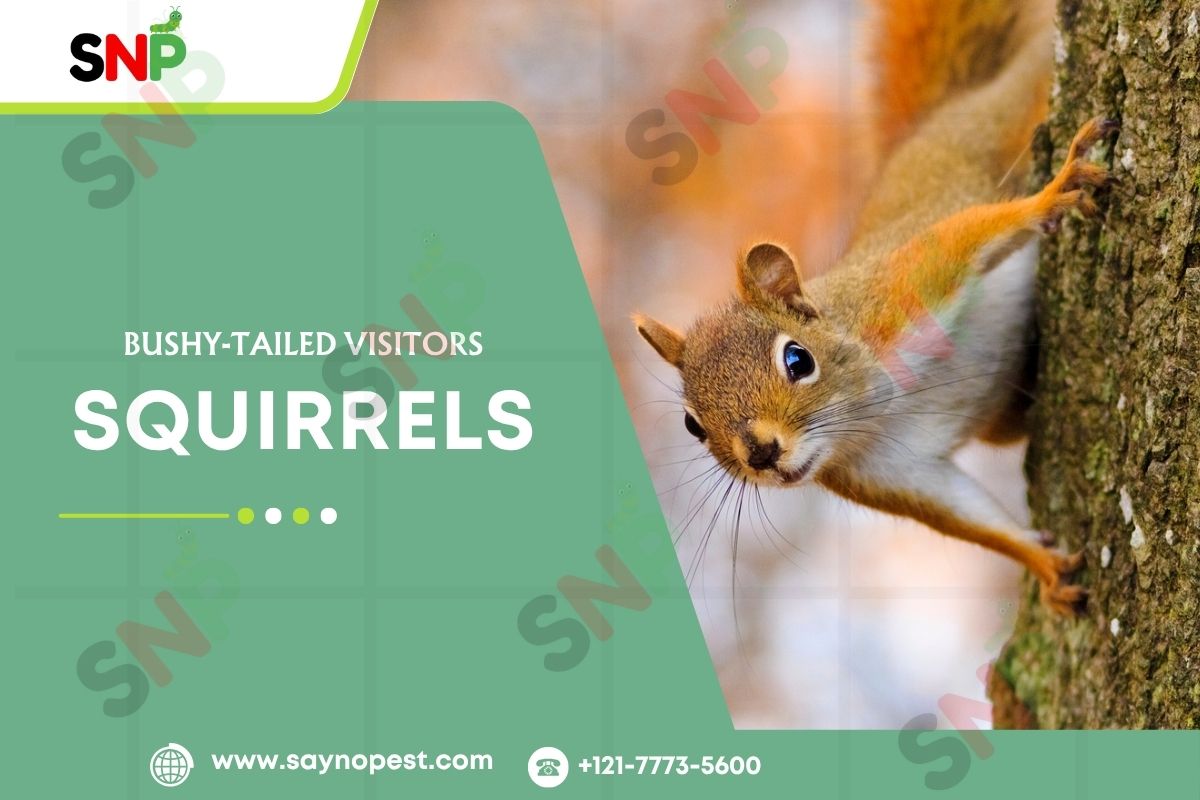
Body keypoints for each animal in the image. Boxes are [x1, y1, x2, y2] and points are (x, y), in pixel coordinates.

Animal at [633, 0, 1118, 615]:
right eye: (693, 425)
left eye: (797, 360)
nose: (761, 453)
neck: (873, 410)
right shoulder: (892, 473)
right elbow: (971, 517)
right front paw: (1044, 566)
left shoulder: (904, 290)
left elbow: (971, 235)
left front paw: (1054, 192)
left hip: (1001, 118)